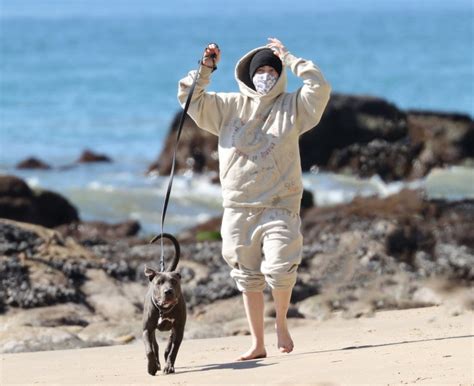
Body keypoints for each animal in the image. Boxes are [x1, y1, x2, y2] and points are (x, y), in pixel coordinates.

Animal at [142, 234, 186, 376]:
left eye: (174, 282)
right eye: (159, 282)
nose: (168, 291)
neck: (164, 309)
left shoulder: (179, 328)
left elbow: (173, 350)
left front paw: (169, 367)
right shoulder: (146, 330)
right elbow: (149, 349)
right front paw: (152, 367)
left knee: (169, 346)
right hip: (152, 331)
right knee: (154, 345)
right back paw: (157, 363)